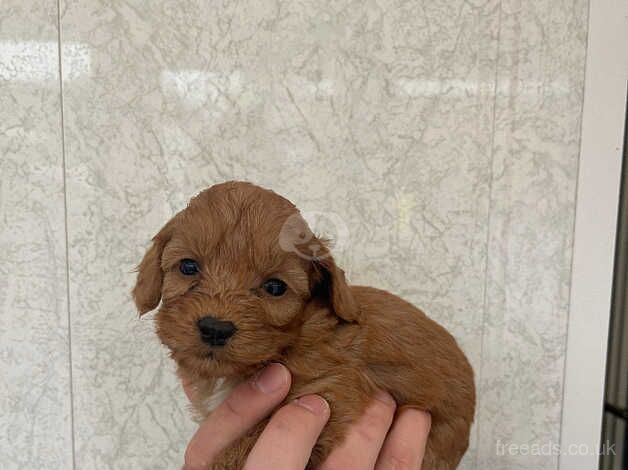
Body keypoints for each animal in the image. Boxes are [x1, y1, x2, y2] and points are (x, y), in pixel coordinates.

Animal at [134, 182, 476, 468]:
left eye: (275, 287)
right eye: (188, 267)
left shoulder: (330, 392)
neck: (292, 338)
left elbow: (240, 448)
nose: (215, 328)